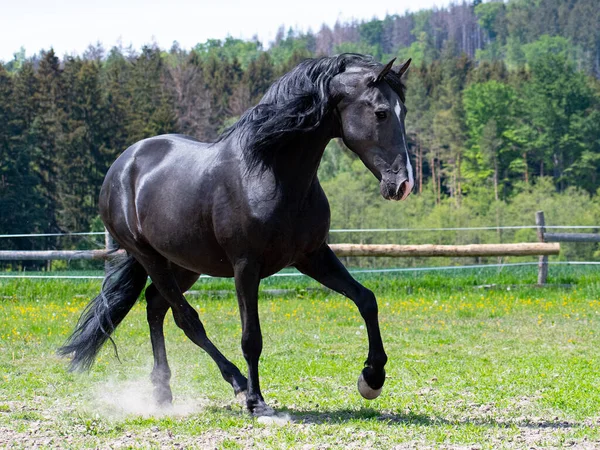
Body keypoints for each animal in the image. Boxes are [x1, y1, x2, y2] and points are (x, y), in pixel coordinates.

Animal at [59, 54, 412, 416]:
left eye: (404, 111)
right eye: (381, 112)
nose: (402, 184)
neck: (271, 174)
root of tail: (122, 165)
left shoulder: (312, 255)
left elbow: (366, 299)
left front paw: (372, 378)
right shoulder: (246, 266)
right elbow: (251, 337)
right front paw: (257, 401)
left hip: (184, 263)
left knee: (156, 306)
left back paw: (162, 390)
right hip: (150, 257)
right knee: (186, 318)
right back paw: (237, 383)